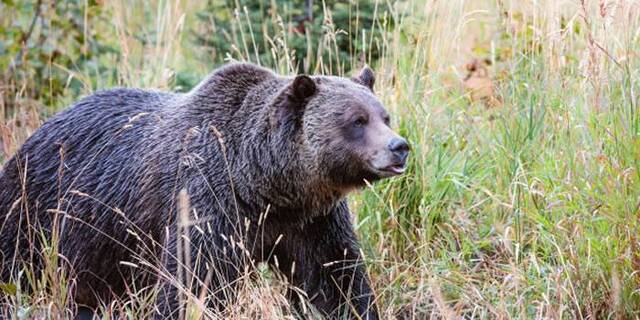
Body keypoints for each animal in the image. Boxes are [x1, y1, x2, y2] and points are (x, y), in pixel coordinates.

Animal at [0, 62, 410, 318]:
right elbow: (194, 277)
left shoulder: (310, 220)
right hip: (42, 207)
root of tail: (40, 129)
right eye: (357, 120)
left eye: (384, 115)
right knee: (17, 264)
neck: (264, 186)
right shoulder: (207, 198)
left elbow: (334, 275)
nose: (399, 146)